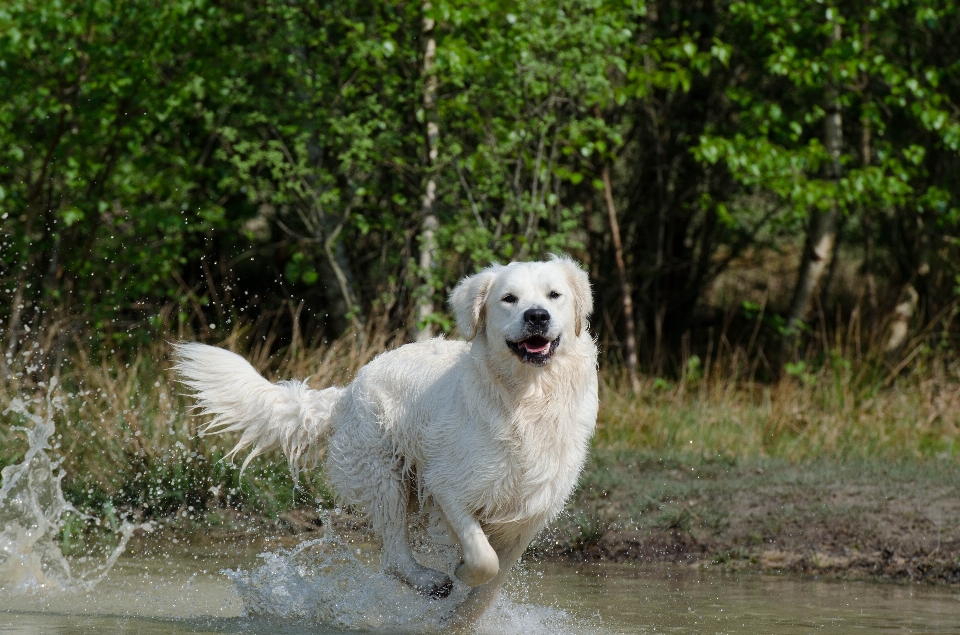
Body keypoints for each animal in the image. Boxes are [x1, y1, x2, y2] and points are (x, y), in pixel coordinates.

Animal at [171, 256, 592, 624]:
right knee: (393, 557)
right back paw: (430, 581)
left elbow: (490, 586)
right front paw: (457, 575)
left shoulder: (530, 515)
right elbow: (482, 560)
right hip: (385, 475)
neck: (526, 399)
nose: (537, 316)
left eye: (554, 295)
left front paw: (459, 619)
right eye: (509, 298)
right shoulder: (447, 486)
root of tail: (347, 392)